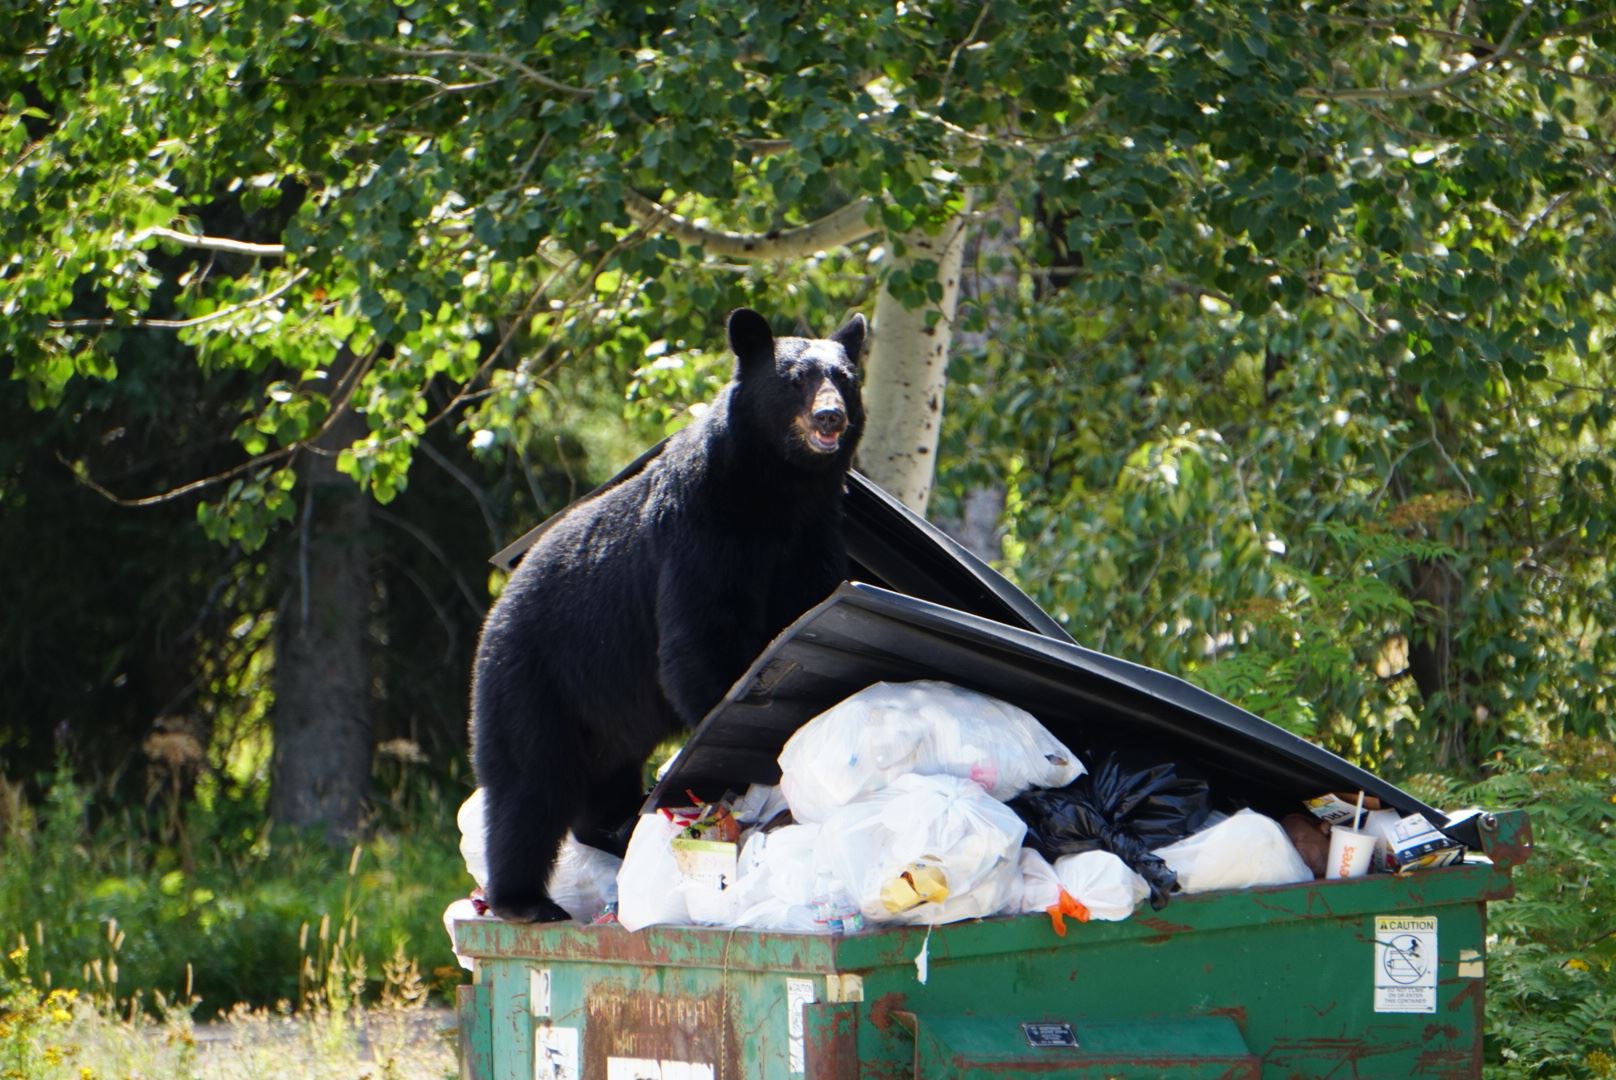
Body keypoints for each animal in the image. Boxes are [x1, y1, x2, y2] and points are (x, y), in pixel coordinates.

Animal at [469, 307, 867, 922]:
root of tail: (497, 605)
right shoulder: (700, 532)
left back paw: (618, 827)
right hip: (534, 677)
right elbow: (700, 639)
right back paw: (525, 899)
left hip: (603, 708)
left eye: (844, 377)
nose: (830, 415)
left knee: (599, 776)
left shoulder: (813, 537)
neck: (776, 495)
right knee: (530, 782)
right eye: (795, 378)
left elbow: (809, 607)